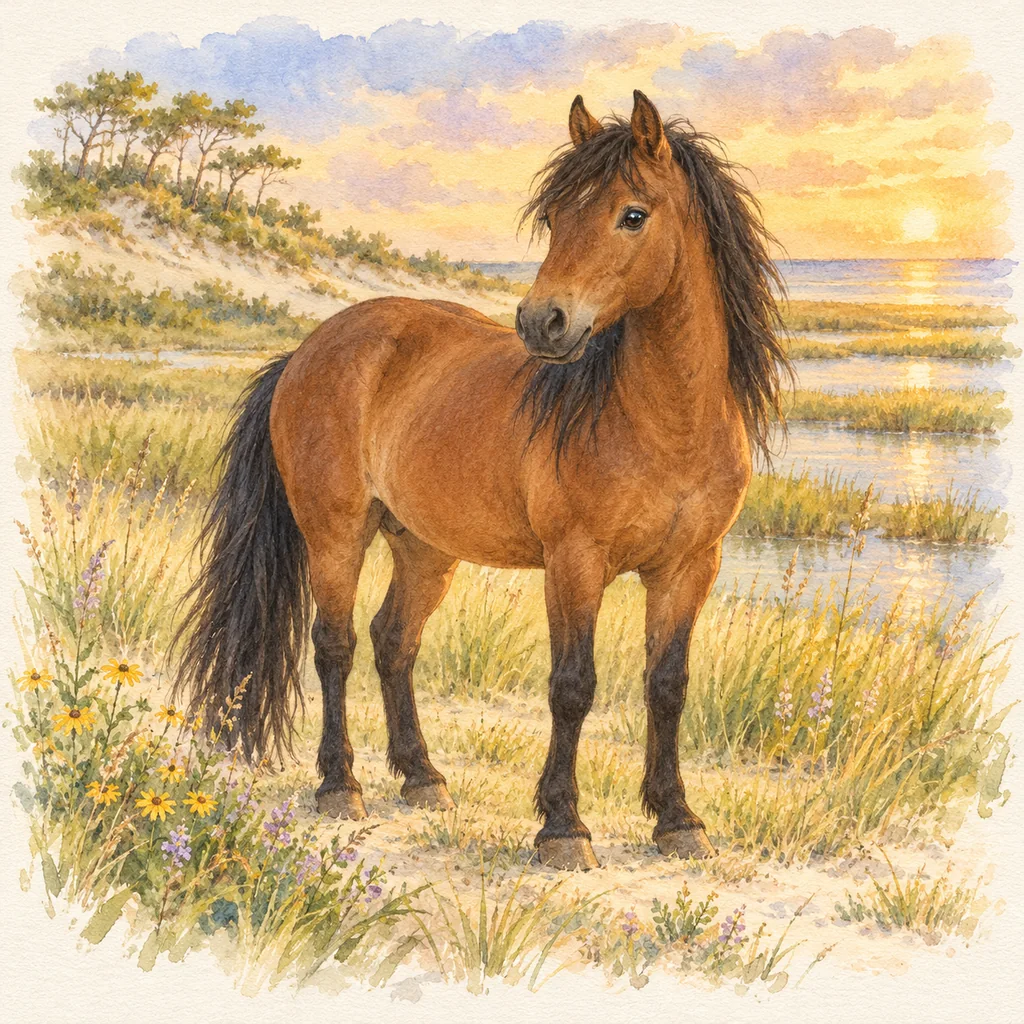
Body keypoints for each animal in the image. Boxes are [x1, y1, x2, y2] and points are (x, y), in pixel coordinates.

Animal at [175, 90, 791, 871]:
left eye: (633, 215)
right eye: (554, 216)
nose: (542, 321)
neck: (662, 422)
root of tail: (309, 349)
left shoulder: (689, 567)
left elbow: (668, 686)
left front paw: (678, 820)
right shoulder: (575, 563)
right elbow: (572, 687)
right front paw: (563, 827)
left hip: (425, 547)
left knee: (393, 641)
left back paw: (422, 777)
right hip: (337, 533)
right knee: (335, 646)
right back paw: (339, 786)